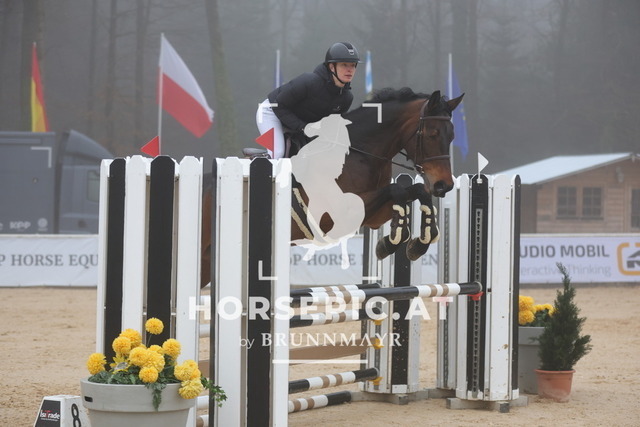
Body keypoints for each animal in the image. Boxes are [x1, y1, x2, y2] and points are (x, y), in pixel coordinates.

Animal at [200, 87, 464, 288]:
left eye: (452, 136)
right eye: (432, 133)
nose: (444, 185)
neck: (359, 154)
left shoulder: (374, 217)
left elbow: (416, 192)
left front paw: (417, 243)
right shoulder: (337, 215)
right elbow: (398, 191)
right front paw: (391, 243)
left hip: (208, 260)